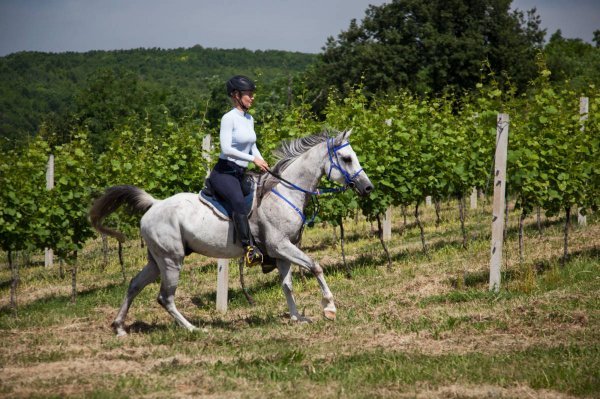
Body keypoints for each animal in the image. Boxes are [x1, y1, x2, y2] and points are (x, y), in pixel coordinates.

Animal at [89, 130, 372, 336]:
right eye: (347, 158)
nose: (367, 187)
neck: (285, 192)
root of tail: (154, 204)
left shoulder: (282, 252)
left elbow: (287, 284)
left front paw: (297, 317)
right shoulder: (281, 246)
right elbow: (315, 266)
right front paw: (329, 308)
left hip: (157, 260)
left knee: (134, 284)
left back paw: (119, 327)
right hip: (171, 260)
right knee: (165, 297)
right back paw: (193, 328)